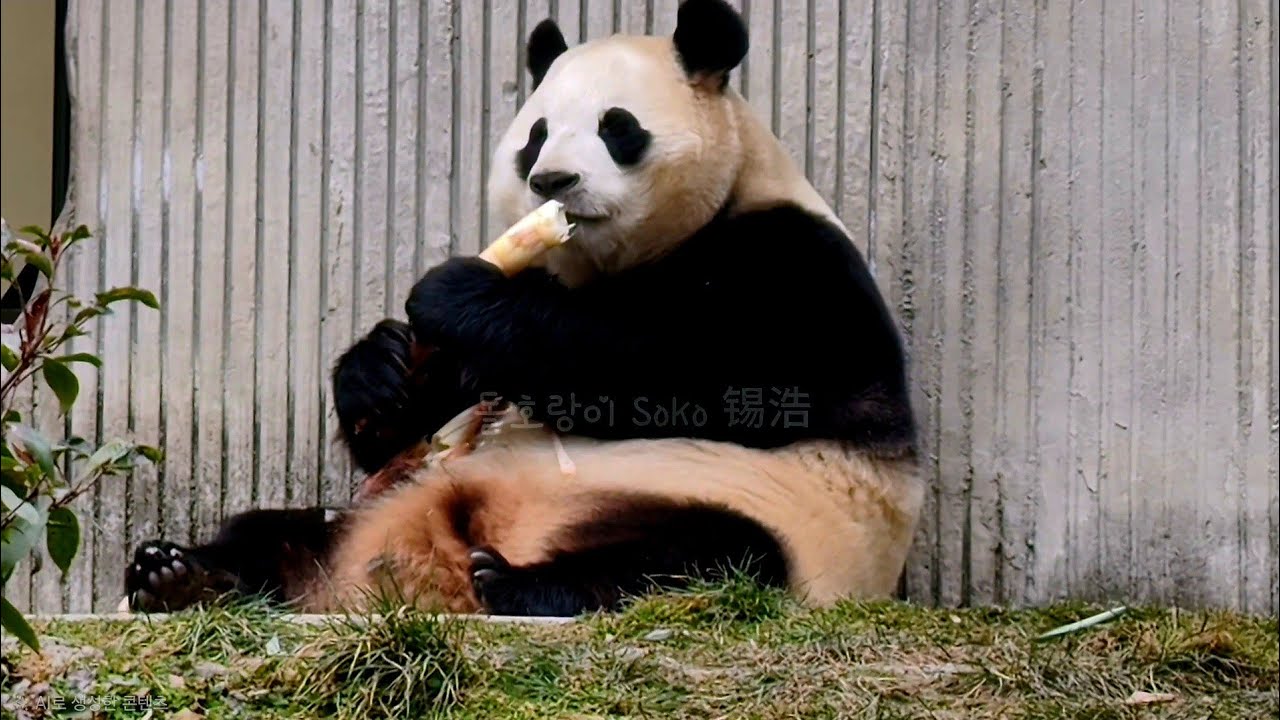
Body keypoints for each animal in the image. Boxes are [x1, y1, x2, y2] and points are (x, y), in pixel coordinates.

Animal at [124, 0, 924, 618]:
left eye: (617, 127)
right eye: (535, 136)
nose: (553, 180)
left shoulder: (793, 265)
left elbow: (682, 373)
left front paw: (454, 291)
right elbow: (433, 407)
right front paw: (379, 370)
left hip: (764, 516)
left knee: (705, 560)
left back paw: (522, 583)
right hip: (359, 513)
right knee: (270, 530)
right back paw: (180, 575)